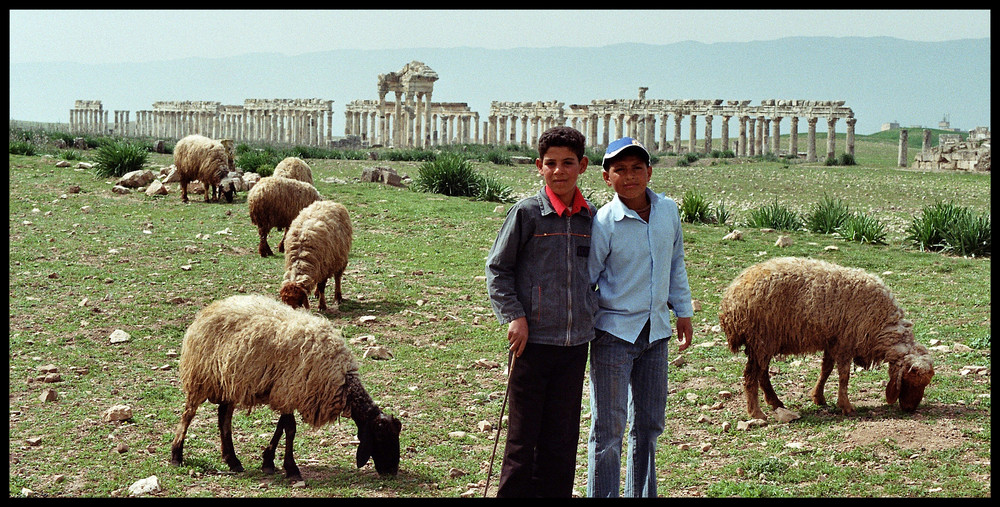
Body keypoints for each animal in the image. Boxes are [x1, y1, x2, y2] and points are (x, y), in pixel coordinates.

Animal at [171, 294, 402, 480]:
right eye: (381, 435)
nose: (392, 471)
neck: (341, 380)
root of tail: (209, 309)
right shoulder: (290, 390)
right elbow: (290, 429)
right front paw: (291, 469)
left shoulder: (286, 393)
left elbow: (281, 427)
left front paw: (268, 461)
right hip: (201, 376)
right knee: (188, 414)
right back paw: (177, 455)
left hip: (229, 382)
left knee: (224, 417)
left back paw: (233, 460)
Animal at [716, 258, 932, 420]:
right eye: (912, 380)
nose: (910, 409)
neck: (881, 324)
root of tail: (729, 302)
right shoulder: (845, 342)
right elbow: (844, 376)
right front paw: (846, 406)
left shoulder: (832, 340)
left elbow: (826, 370)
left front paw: (818, 397)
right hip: (761, 338)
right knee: (751, 376)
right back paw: (756, 413)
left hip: (765, 341)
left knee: (762, 374)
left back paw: (775, 402)